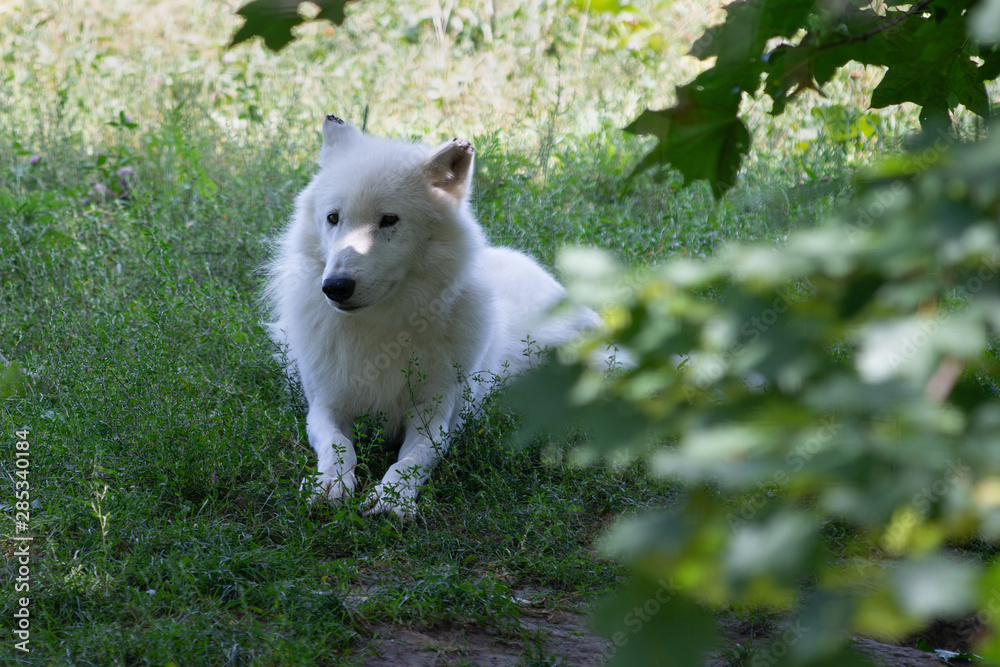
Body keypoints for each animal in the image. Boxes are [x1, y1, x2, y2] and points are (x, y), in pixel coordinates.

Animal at [264, 114, 601, 517]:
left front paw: (393, 498)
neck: (382, 331)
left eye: (389, 219)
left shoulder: (436, 418)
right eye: (333, 218)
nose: (335, 287)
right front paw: (330, 483)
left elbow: (412, 460)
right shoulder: (325, 407)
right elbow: (337, 447)